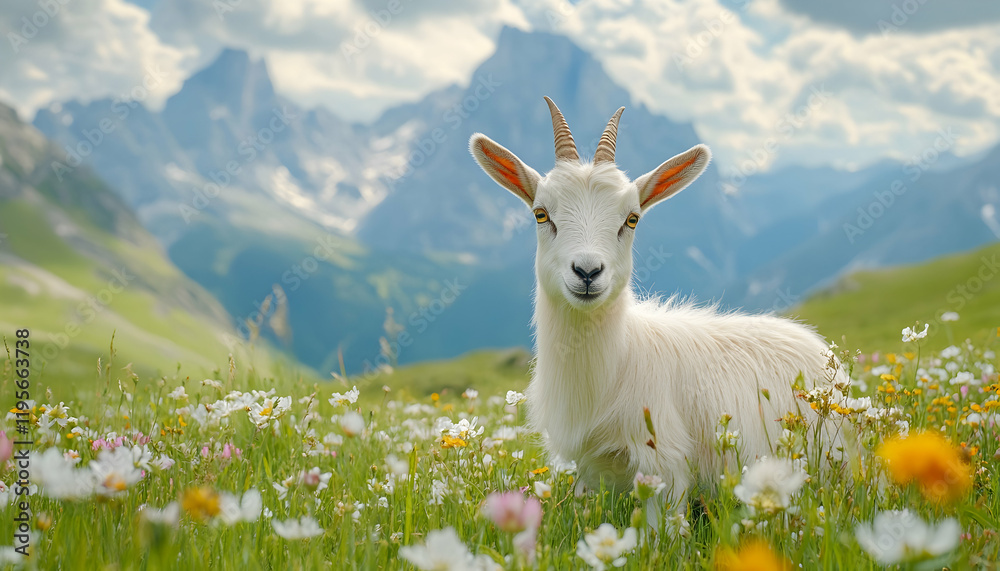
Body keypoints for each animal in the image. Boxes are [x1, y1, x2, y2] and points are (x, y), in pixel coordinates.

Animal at [469, 97, 838, 501]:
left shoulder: (665, 459)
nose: (587, 272)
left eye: (632, 219)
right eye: (540, 213)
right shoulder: (585, 470)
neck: (615, 363)